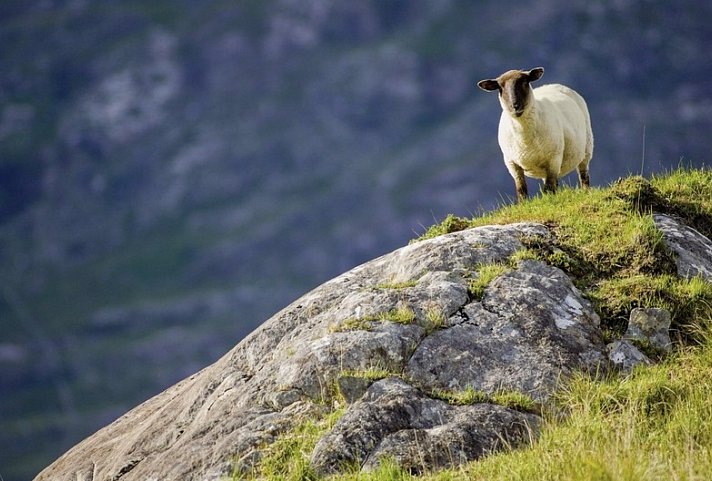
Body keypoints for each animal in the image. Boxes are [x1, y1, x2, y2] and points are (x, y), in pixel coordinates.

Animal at [478, 66, 596, 202]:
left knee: (583, 175)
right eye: (500, 87)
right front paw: (523, 204)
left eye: (524, 82)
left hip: (586, 149)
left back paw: (586, 191)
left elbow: (548, 189)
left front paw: (550, 202)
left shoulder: (553, 159)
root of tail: (554, 85)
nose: (515, 106)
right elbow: (521, 189)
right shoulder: (512, 163)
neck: (525, 138)